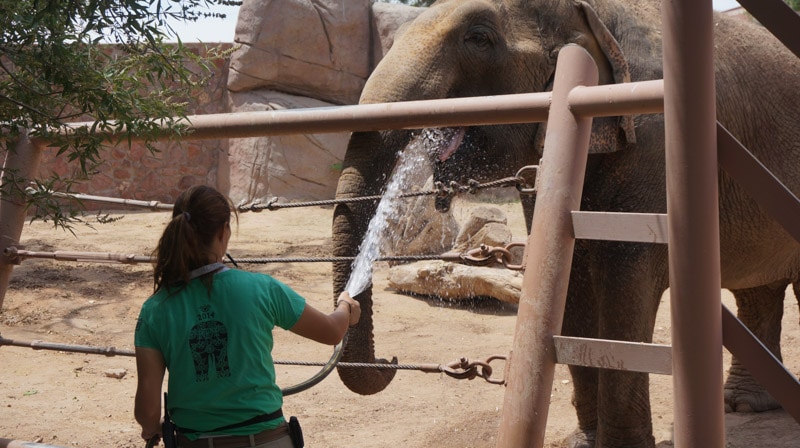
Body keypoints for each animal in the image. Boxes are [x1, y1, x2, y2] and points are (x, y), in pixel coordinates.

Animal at [332, 0, 800, 446]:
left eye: (479, 38)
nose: (389, 361)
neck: (592, 11)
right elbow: (568, 276)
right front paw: (583, 443)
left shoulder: (655, 141)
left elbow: (626, 279)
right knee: (759, 290)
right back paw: (742, 404)